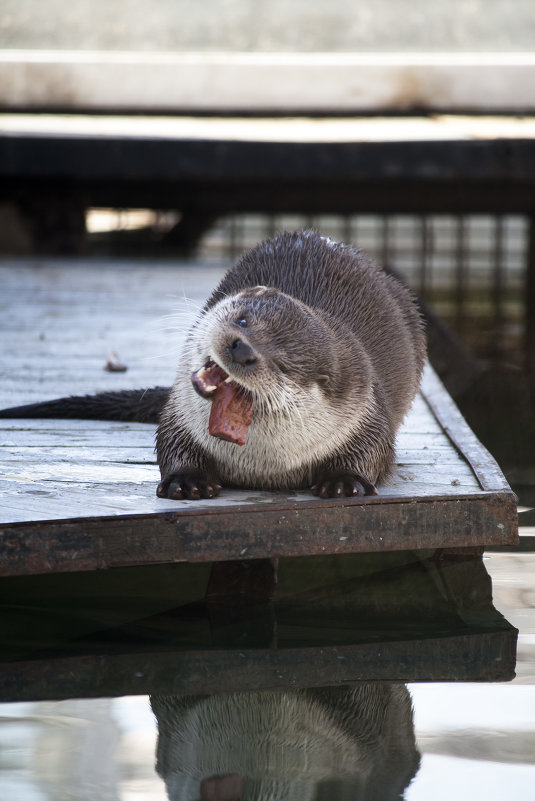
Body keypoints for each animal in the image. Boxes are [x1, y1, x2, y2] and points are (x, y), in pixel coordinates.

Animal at [0, 228, 428, 496]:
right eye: (244, 321)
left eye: (284, 364)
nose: (241, 347)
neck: (261, 467)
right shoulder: (178, 414)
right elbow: (170, 443)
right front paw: (187, 481)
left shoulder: (366, 411)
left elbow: (374, 453)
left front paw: (343, 482)